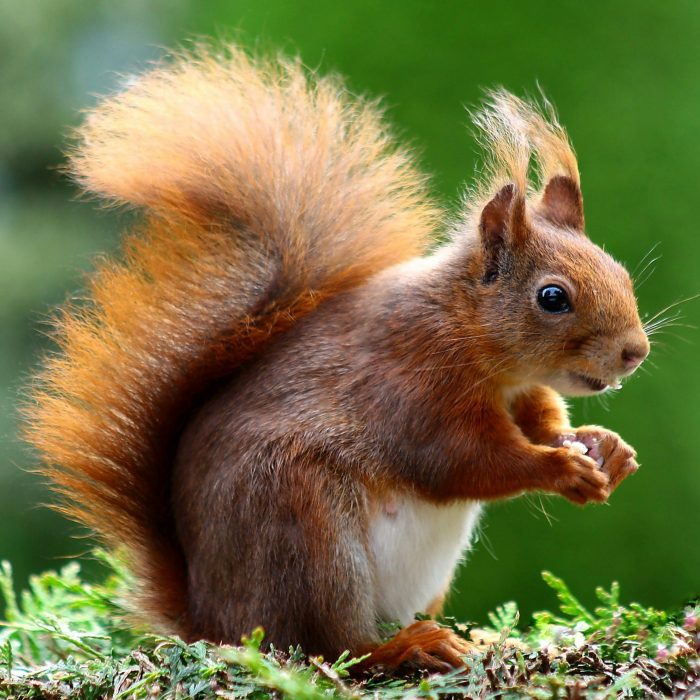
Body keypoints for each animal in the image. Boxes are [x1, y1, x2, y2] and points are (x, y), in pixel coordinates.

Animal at [24, 45, 650, 672]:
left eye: (619, 273)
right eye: (553, 297)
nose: (635, 352)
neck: (474, 339)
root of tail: (211, 619)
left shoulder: (522, 391)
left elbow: (542, 422)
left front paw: (604, 448)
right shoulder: (413, 387)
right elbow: (464, 462)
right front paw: (560, 468)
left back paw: (477, 639)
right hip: (307, 533)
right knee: (329, 645)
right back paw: (406, 647)